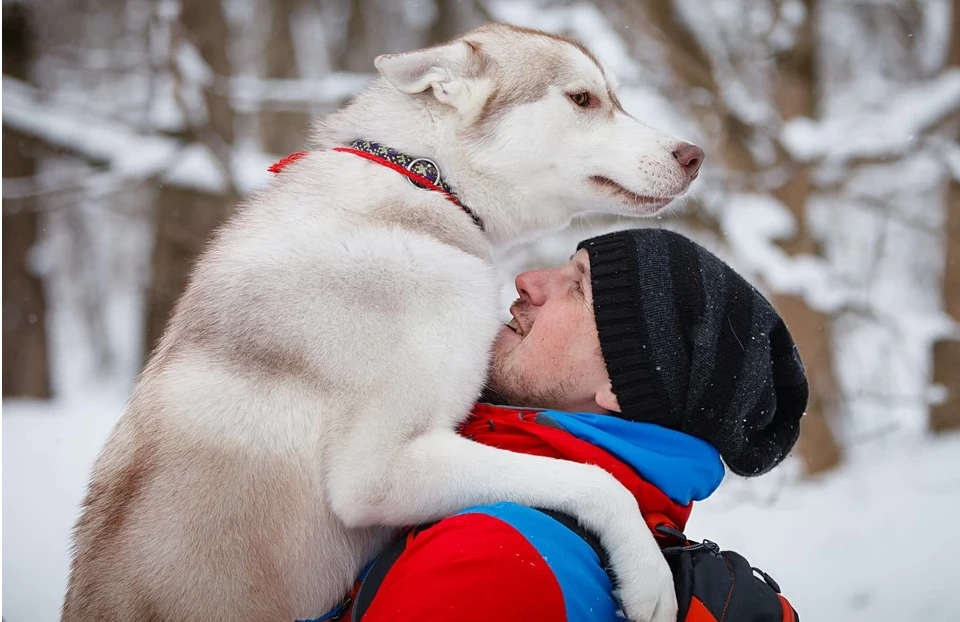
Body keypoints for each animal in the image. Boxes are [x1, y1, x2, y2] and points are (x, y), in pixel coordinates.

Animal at [62, 24, 704, 622]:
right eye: (582, 99)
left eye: (611, 97)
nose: (693, 155)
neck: (425, 182)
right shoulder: (379, 472)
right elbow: (596, 479)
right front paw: (648, 575)